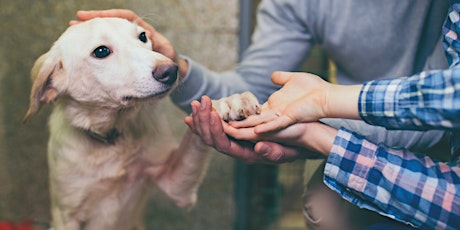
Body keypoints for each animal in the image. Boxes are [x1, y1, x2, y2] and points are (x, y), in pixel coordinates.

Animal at [23, 17, 258, 230]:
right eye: (101, 51)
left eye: (143, 36)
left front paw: (226, 102)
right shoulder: (66, 216)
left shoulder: (175, 185)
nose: (171, 70)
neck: (112, 139)